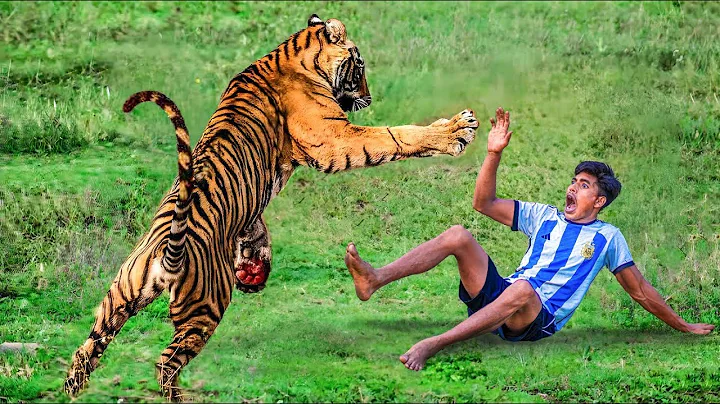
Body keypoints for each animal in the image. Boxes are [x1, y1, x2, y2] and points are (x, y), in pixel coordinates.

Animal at [65, 14, 478, 400]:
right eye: (359, 66)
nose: (369, 96)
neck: (294, 54)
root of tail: (168, 254)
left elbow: (256, 227)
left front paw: (255, 265)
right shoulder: (334, 139)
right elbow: (395, 136)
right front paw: (456, 130)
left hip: (118, 297)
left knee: (88, 348)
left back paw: (74, 389)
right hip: (204, 308)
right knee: (165, 364)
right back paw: (179, 396)